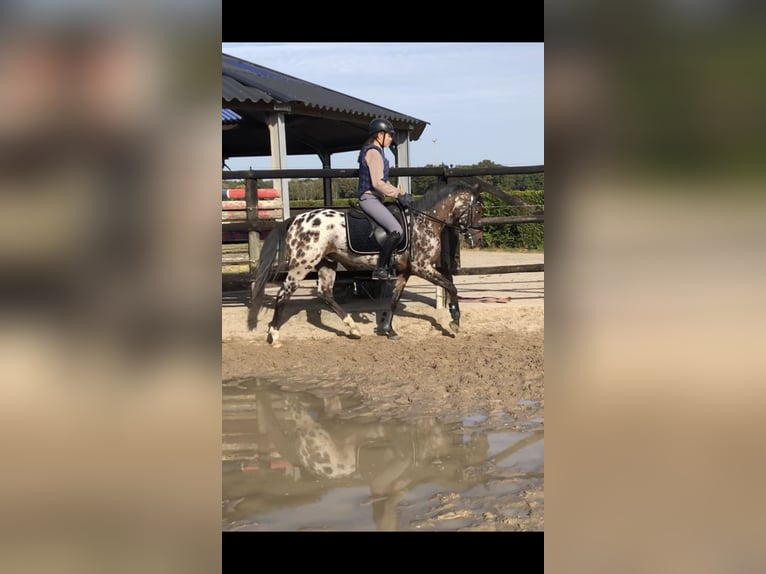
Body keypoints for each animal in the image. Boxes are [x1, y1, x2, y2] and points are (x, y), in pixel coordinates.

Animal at [249, 182, 484, 348]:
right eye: (479, 209)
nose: (479, 238)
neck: (424, 221)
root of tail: (296, 220)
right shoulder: (422, 267)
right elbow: (451, 286)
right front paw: (454, 322)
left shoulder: (406, 271)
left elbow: (394, 300)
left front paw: (388, 329)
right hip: (302, 265)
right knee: (283, 294)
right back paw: (274, 335)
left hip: (327, 263)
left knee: (325, 293)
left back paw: (352, 328)